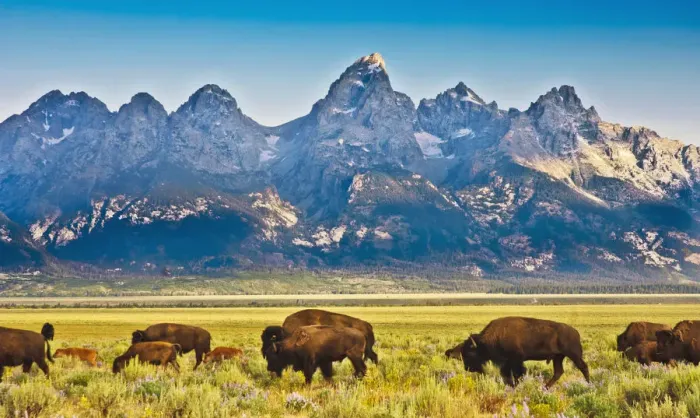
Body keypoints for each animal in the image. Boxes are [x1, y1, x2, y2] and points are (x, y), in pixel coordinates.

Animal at [461, 317, 590, 387]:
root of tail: (575, 332)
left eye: (470, 353)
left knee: (583, 367)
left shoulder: (516, 360)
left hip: (573, 355)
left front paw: (516, 386)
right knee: (558, 372)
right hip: (558, 357)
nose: (467, 368)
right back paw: (545, 387)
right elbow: (507, 375)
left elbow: (517, 374)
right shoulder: (508, 362)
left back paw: (589, 384)